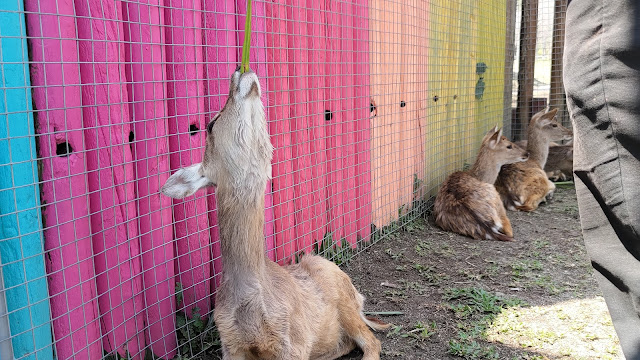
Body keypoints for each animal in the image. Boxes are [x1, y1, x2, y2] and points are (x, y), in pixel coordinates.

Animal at [160, 68, 390, 360]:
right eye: (211, 124)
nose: (241, 72)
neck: (250, 306)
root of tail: (359, 298)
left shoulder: (293, 338)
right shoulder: (230, 342)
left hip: (342, 296)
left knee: (371, 341)